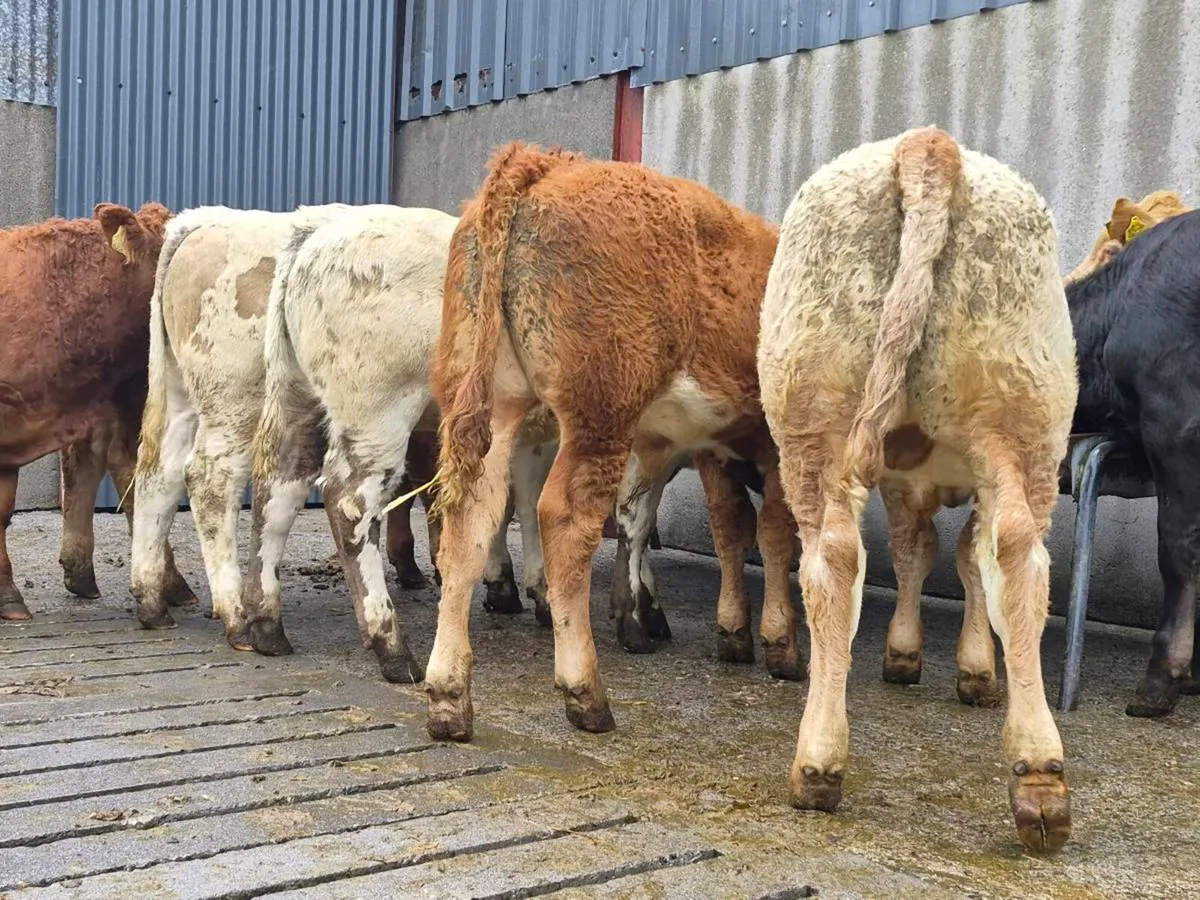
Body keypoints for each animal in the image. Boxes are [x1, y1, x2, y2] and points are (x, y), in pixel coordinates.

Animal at [245, 205, 559, 682]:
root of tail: (316, 232)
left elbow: (518, 503)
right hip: (379, 404)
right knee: (350, 503)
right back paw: (392, 647)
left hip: (296, 392)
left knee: (278, 485)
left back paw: (266, 625)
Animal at [423, 141, 799, 745]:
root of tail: (544, 164)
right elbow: (774, 533)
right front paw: (780, 642)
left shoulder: (707, 446)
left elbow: (717, 526)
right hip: (601, 413)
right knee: (563, 519)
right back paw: (585, 692)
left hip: (492, 405)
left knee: (470, 522)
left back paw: (449, 697)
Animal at [757, 127, 1076, 852]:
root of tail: (926, 146)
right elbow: (942, 552)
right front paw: (956, 662)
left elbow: (927, 551)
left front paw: (922, 655)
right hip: (1018, 421)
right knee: (1017, 551)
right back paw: (1039, 774)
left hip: (817, 423)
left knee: (834, 559)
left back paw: (819, 763)